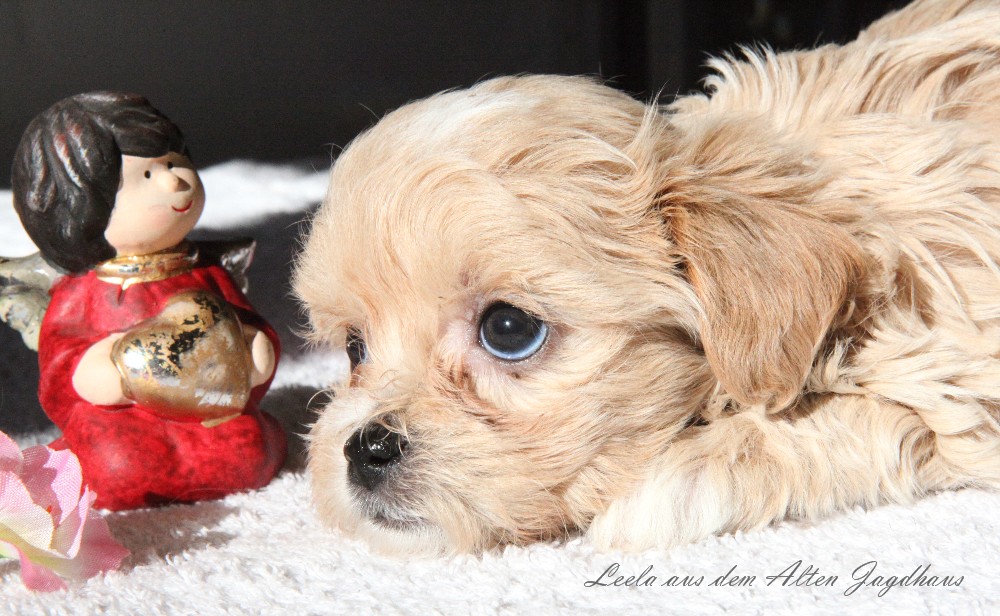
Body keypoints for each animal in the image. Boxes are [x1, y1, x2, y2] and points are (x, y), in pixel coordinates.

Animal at [292, 0, 1000, 552]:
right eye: (354, 347)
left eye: (509, 329)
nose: (365, 449)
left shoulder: (962, 383)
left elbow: (856, 418)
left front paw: (679, 481)